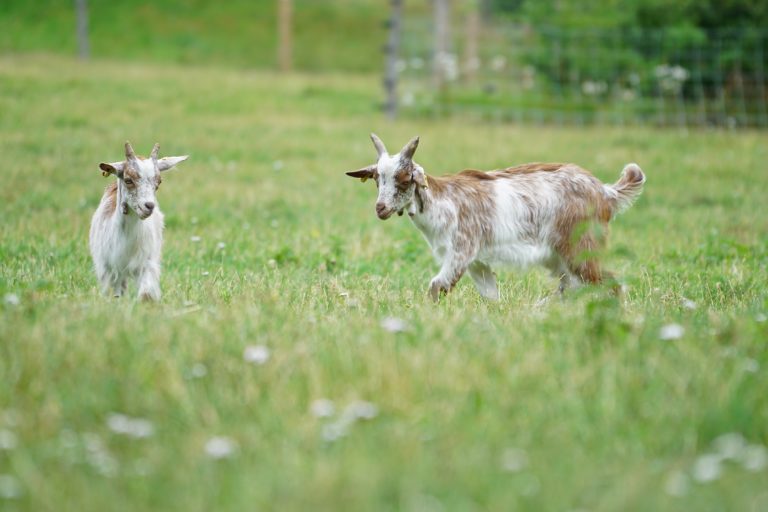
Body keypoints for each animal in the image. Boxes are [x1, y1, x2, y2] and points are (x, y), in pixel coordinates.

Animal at [89, 142, 188, 301]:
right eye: (128, 180)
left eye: (159, 182)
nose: (149, 206)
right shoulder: (107, 268)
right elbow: (113, 294)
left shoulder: (147, 262)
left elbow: (146, 294)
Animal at [346, 134, 645, 302]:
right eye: (377, 178)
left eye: (405, 177)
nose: (381, 208)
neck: (444, 201)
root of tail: (605, 191)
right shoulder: (477, 262)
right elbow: (491, 296)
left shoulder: (462, 250)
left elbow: (437, 286)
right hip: (558, 256)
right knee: (570, 286)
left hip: (580, 246)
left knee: (610, 283)